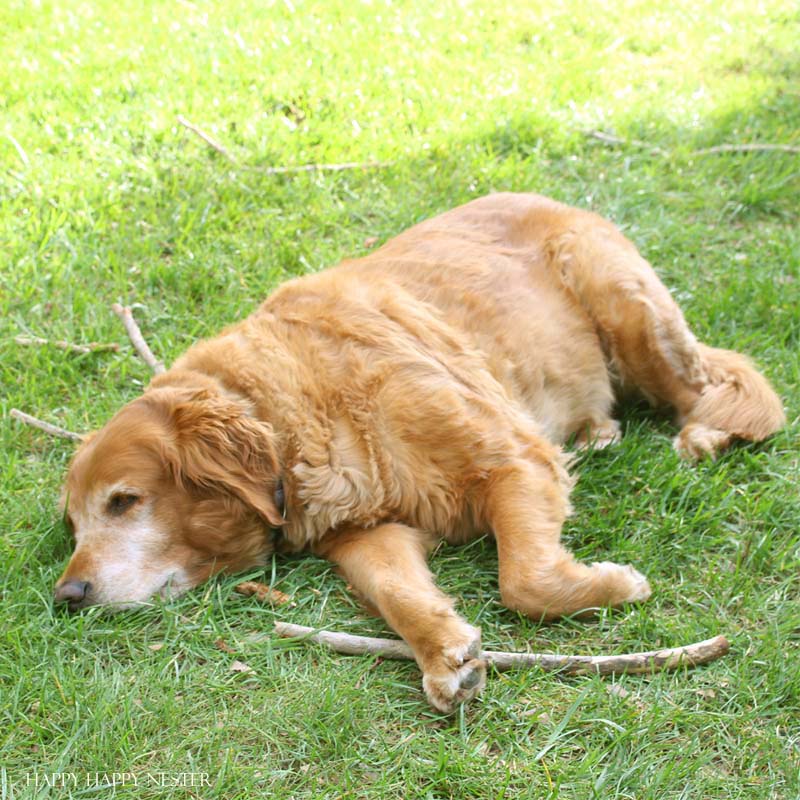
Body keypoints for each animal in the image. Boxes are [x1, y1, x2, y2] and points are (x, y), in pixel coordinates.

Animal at [54, 192, 780, 712]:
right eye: (75, 525)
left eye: (124, 501)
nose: (67, 594)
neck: (283, 415)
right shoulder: (366, 532)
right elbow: (397, 592)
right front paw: (444, 653)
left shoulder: (513, 458)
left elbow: (524, 580)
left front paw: (612, 584)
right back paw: (598, 431)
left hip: (626, 307)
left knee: (724, 386)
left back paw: (706, 432)